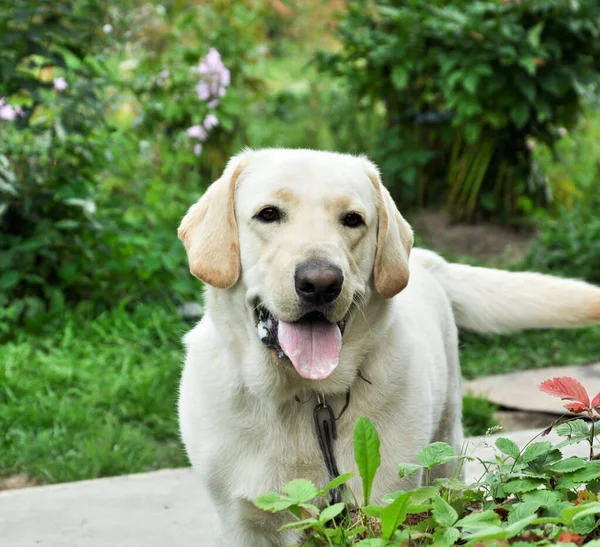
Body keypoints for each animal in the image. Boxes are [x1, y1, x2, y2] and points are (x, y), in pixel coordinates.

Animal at [177, 148, 600, 544]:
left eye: (352, 219)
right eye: (268, 214)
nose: (320, 283)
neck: (308, 398)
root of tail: (426, 259)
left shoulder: (386, 503)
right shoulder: (240, 522)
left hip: (445, 446)